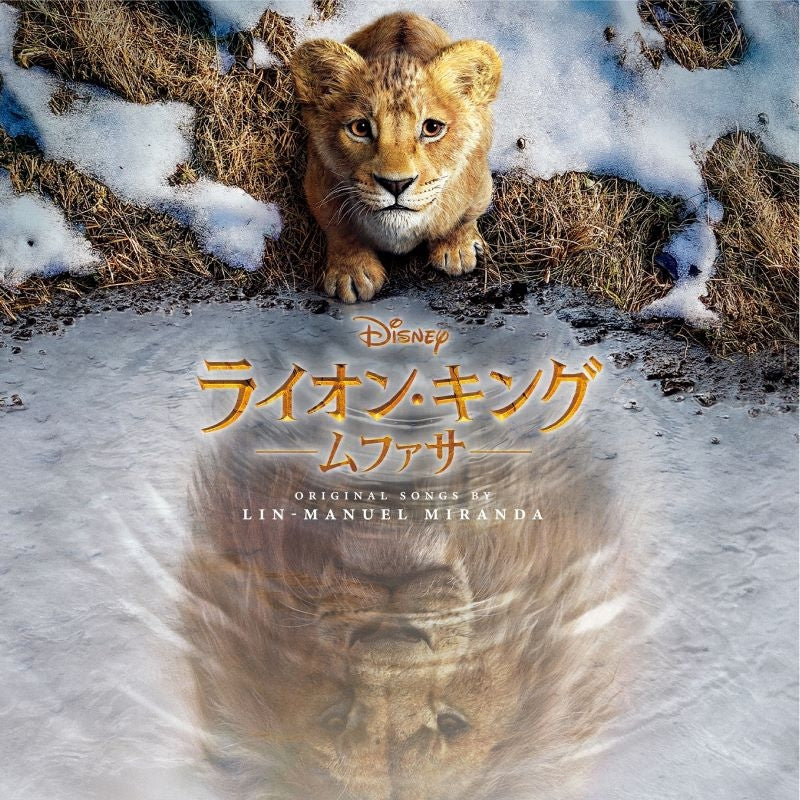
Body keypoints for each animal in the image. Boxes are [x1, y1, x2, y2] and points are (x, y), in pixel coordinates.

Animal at [290, 13, 502, 303]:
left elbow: (463, 218)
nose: (396, 184)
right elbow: (340, 229)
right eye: (360, 128)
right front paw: (351, 273)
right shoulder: (318, 184)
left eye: (432, 128)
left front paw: (457, 250)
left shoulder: (479, 184)